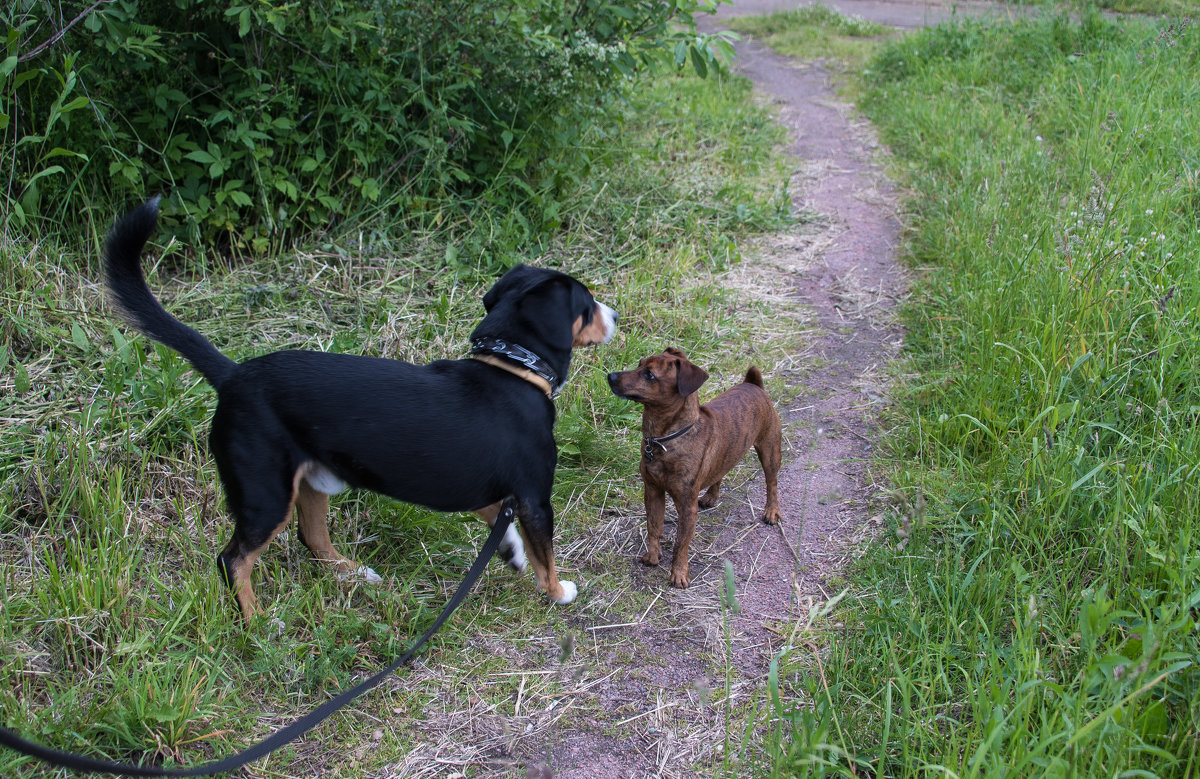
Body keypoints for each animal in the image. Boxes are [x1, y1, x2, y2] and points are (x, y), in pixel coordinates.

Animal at [103, 199, 619, 619]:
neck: (512, 365)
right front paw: (558, 592)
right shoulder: (534, 496)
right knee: (234, 560)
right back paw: (257, 623)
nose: (614, 316)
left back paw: (352, 574)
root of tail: (233, 376)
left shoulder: (493, 488)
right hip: (265, 493)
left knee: (311, 538)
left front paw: (510, 552)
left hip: (309, 481)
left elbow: (500, 522)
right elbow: (544, 554)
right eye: (587, 303)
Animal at [604, 345, 782, 583]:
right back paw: (710, 497)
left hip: (769, 450)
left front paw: (679, 573)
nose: (611, 376)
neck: (663, 440)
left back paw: (772, 511)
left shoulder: (687, 507)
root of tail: (753, 384)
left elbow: (681, 542)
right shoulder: (652, 490)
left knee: (772, 482)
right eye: (639, 363)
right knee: (720, 473)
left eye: (649, 375)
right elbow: (654, 526)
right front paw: (653, 556)